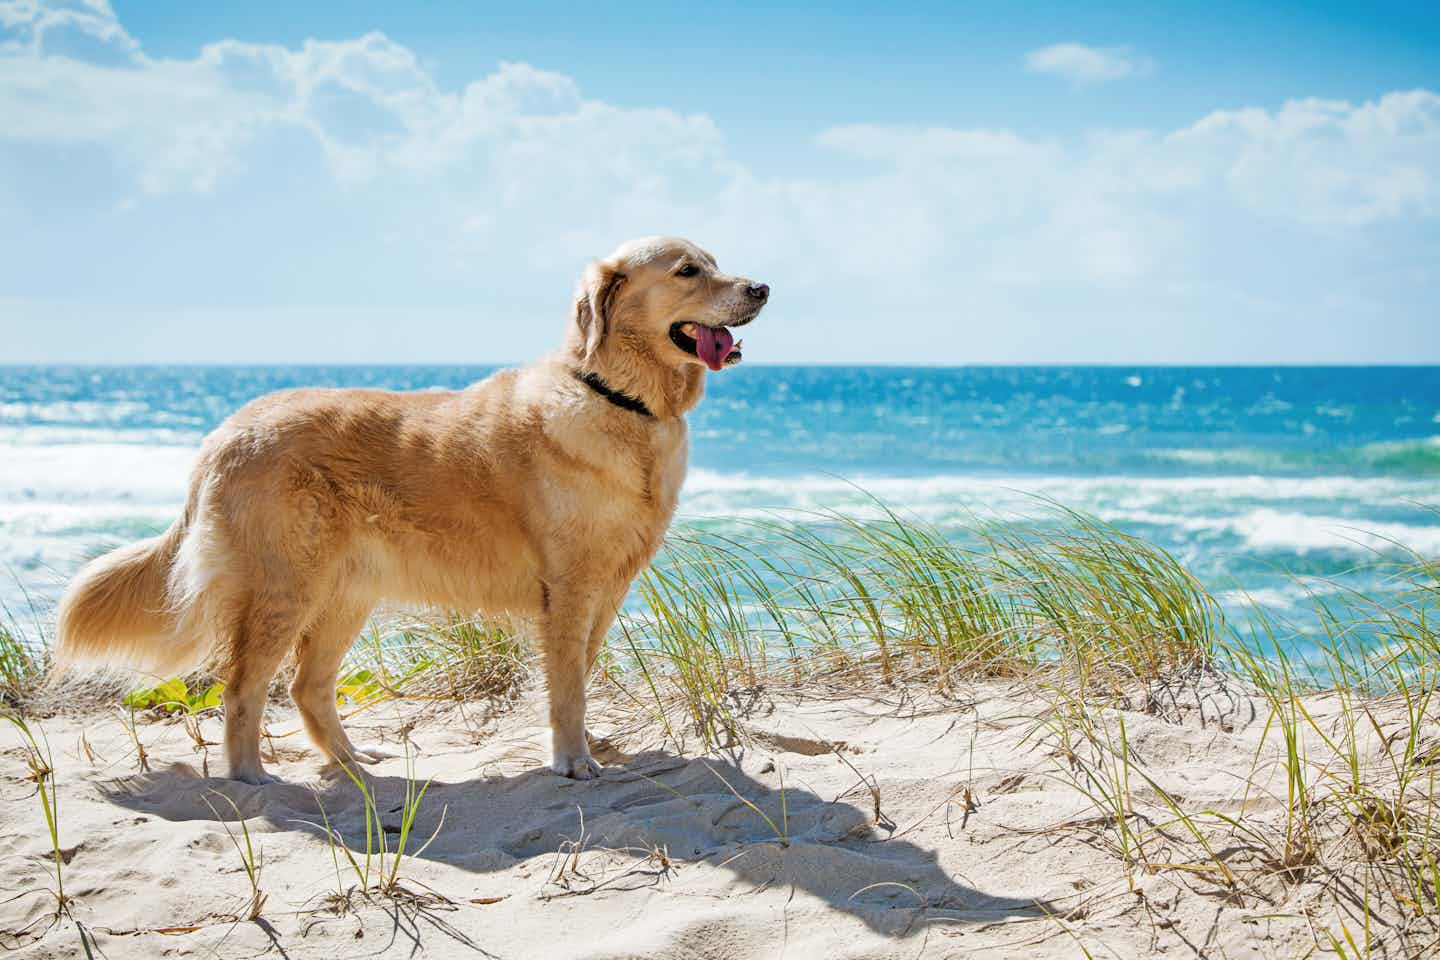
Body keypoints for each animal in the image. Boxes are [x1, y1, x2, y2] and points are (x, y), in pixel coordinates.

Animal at [53, 236, 766, 782]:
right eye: (687, 270)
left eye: (716, 260)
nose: (762, 287)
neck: (619, 398)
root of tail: (228, 429)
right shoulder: (568, 588)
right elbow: (566, 684)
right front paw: (571, 759)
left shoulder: (606, 587)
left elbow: (580, 674)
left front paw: (587, 745)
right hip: (286, 587)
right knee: (242, 687)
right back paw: (252, 777)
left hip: (345, 594)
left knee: (306, 688)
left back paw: (351, 763)